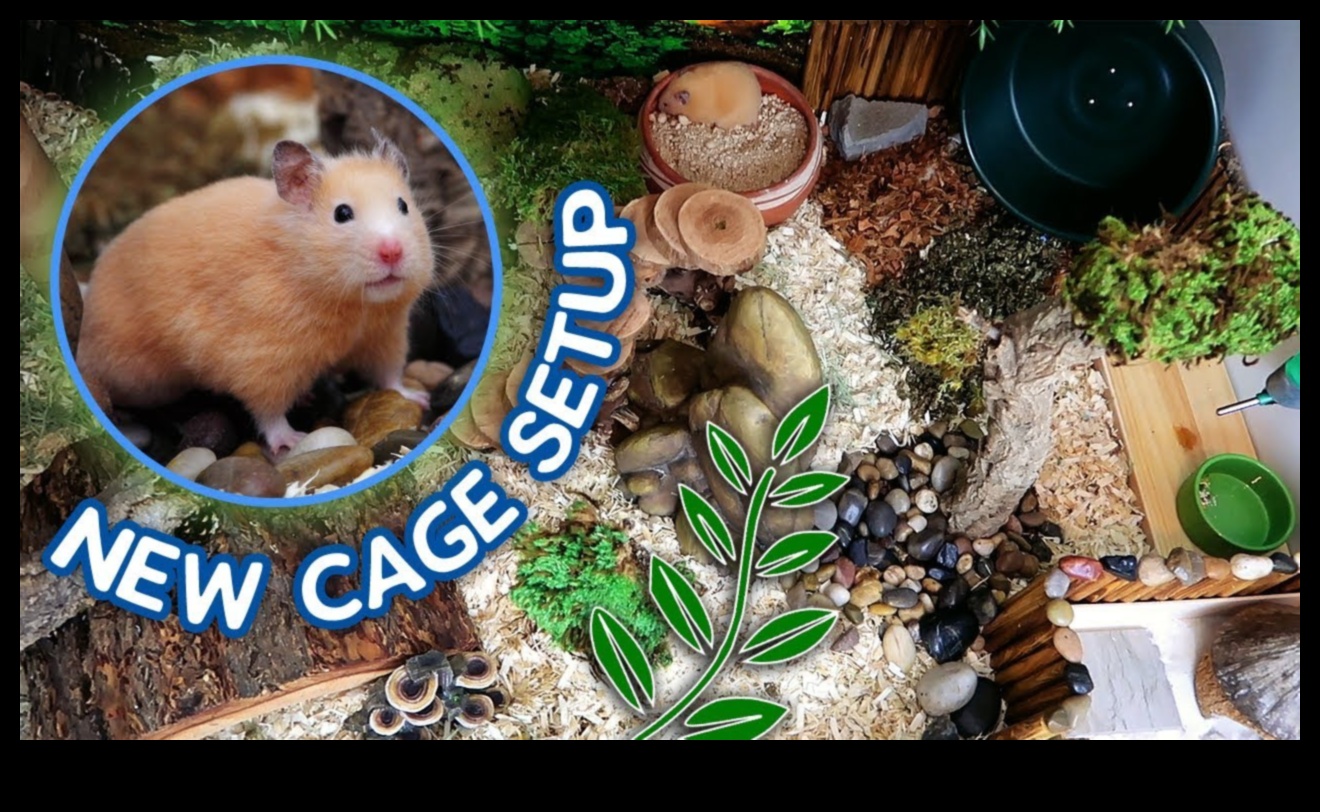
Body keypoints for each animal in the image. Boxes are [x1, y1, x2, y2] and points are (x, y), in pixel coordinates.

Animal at [76, 137, 434, 454]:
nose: (393, 252)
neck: (350, 304)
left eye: (403, 205)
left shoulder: (384, 334)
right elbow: (269, 409)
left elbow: (390, 372)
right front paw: (290, 441)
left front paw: (417, 398)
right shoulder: (262, 358)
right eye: (342, 214)